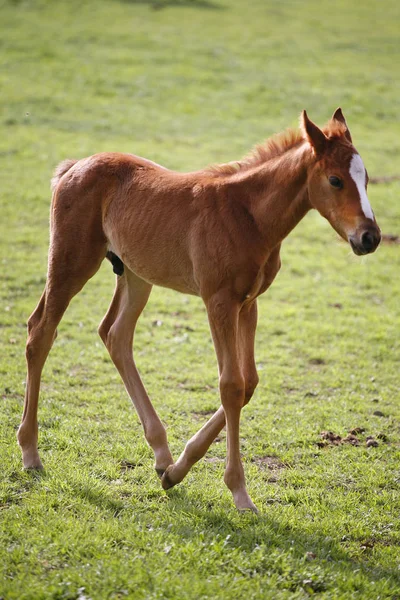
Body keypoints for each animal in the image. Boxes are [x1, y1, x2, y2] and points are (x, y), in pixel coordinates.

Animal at [18, 111, 382, 510]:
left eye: (365, 178)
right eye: (335, 180)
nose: (370, 237)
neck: (248, 216)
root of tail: (73, 167)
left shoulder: (249, 303)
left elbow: (249, 382)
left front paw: (176, 471)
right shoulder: (218, 301)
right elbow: (231, 385)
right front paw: (239, 491)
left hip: (135, 274)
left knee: (115, 334)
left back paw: (161, 454)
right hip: (71, 262)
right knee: (40, 332)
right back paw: (31, 453)